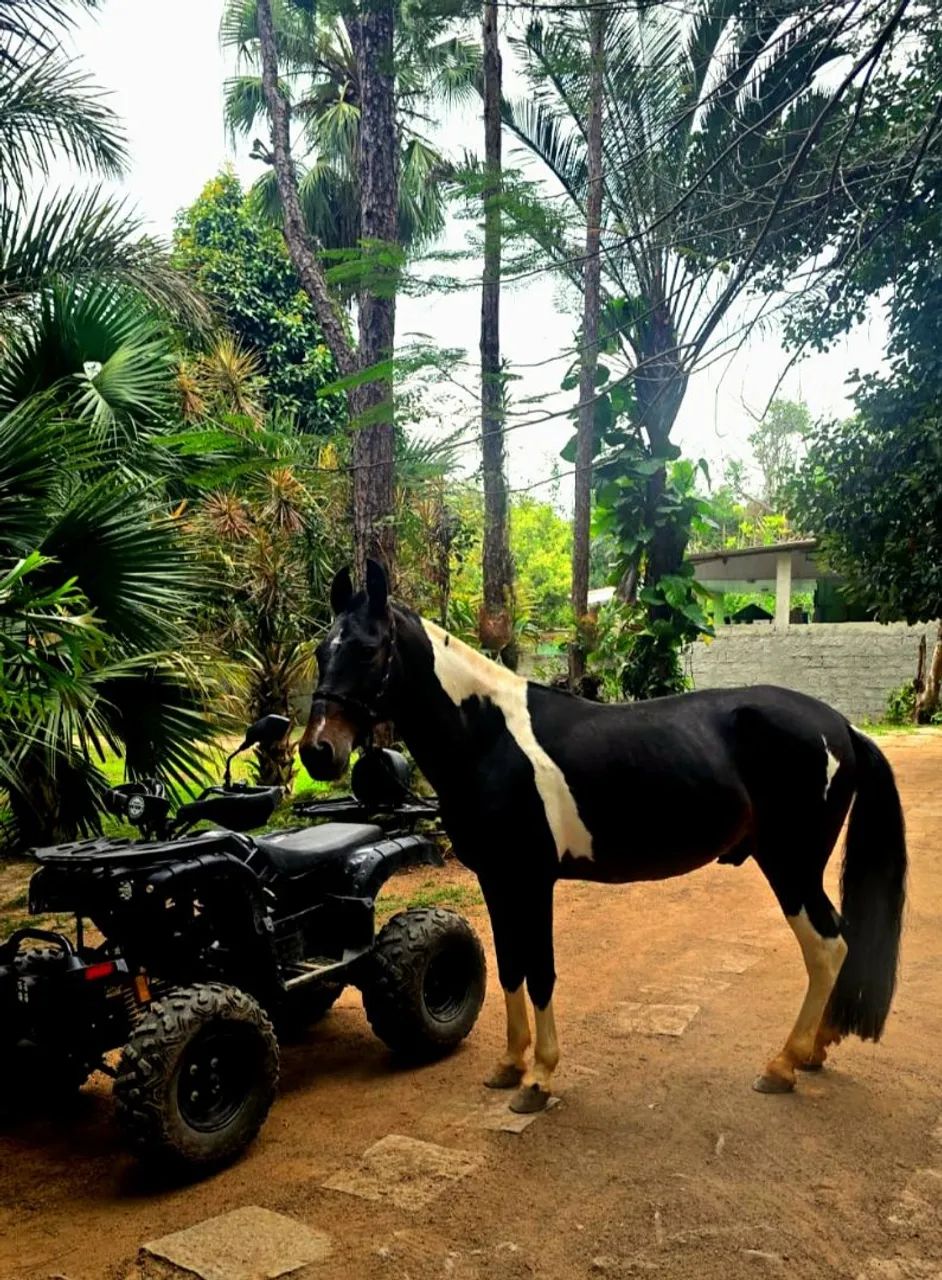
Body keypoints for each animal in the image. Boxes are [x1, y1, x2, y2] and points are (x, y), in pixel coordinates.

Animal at [299, 560, 907, 1115]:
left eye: (370, 650)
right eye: (321, 652)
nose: (317, 751)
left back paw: (784, 1065)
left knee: (828, 947)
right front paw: (509, 1065)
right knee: (838, 941)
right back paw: (815, 1051)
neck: (489, 739)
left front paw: (539, 1079)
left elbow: (541, 972)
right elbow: (511, 966)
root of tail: (840, 726)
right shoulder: (497, 880)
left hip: (791, 864)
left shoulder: (532, 879)